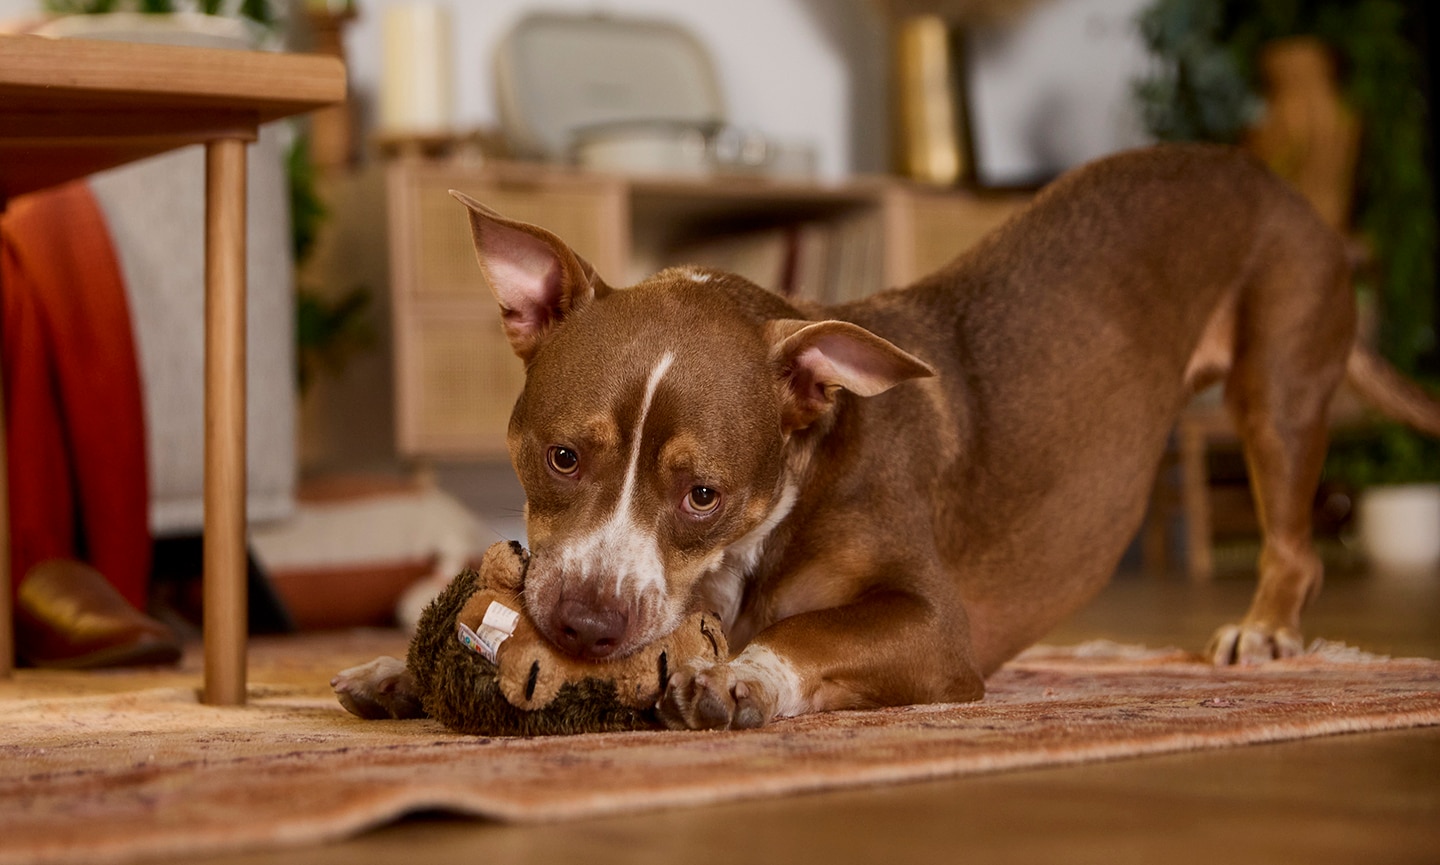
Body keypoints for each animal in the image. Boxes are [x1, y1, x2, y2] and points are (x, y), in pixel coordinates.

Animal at [334, 145, 1428, 725]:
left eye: (702, 494)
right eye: (563, 456)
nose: (586, 628)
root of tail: (1280, 185)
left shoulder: (935, 629)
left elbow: (812, 628)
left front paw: (743, 672)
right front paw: (401, 670)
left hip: (1277, 386)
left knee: (1294, 538)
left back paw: (1268, 629)